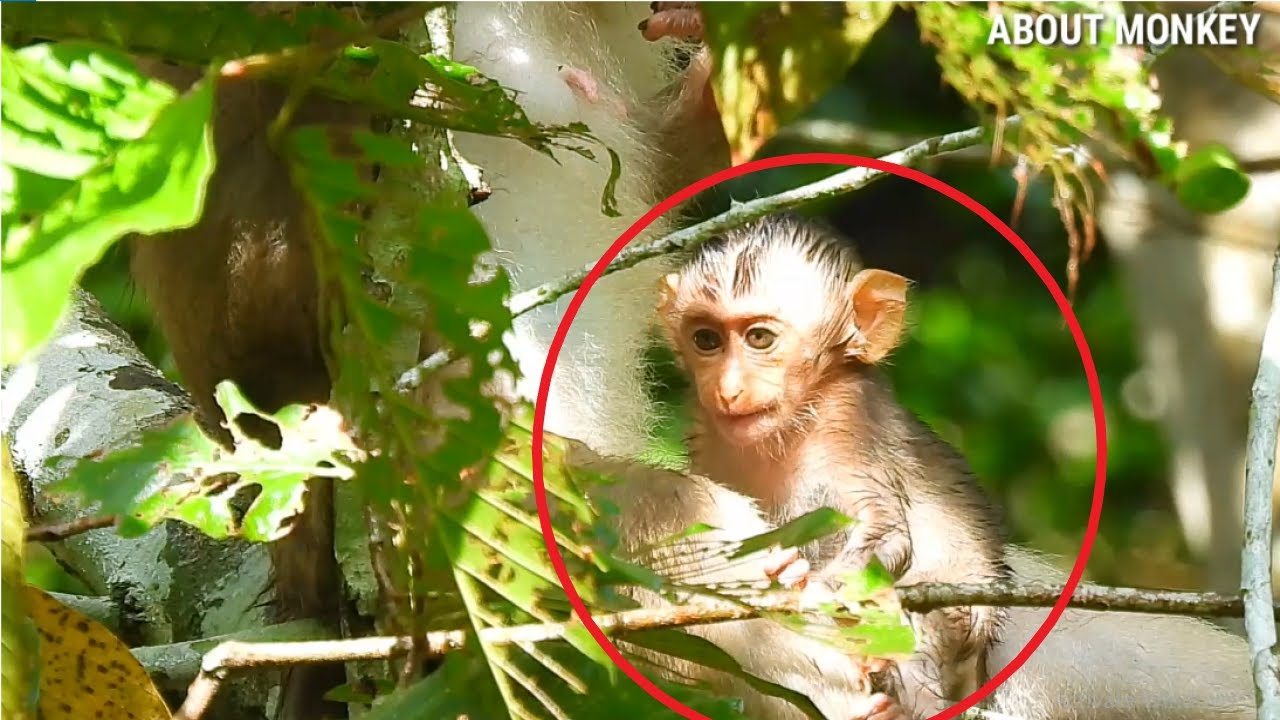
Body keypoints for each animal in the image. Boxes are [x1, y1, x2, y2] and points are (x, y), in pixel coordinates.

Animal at [654, 213, 1008, 720]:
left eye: (759, 338)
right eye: (707, 340)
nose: (728, 388)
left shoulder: (850, 421)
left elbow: (885, 534)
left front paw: (811, 589)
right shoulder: (706, 438)